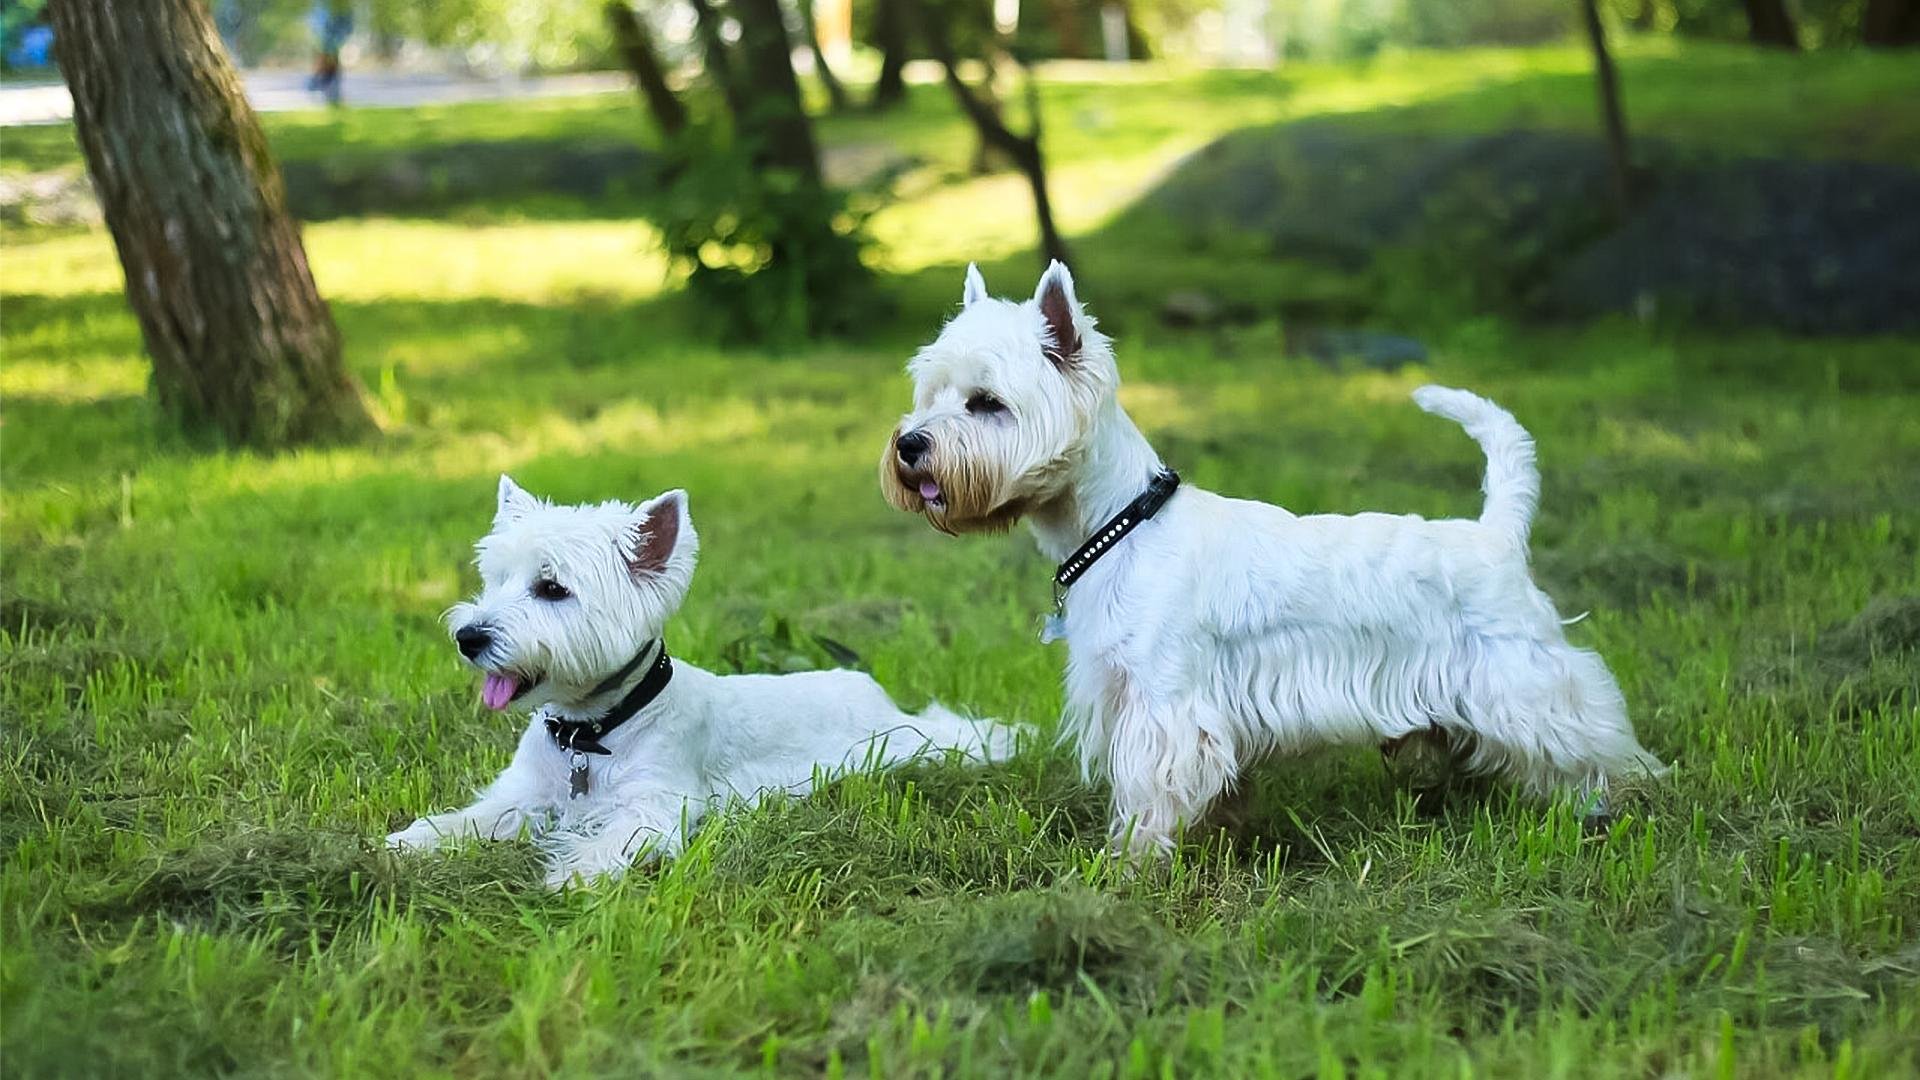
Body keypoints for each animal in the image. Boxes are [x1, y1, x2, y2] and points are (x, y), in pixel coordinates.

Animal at [387, 474, 1021, 880]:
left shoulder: (659, 802)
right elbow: (474, 818)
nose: (469, 638)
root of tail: (869, 687)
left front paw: (576, 870)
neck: (590, 734)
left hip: (905, 744)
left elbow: (618, 836)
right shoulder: (524, 793)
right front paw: (410, 841)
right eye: (495, 579)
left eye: (552, 588)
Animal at [883, 259, 1666, 849]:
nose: (909, 444)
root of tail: (1496, 532)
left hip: (1524, 676)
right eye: (930, 392)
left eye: (987, 402)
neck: (1120, 524)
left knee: (1593, 740)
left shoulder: (1165, 700)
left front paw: (1129, 863)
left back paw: (1616, 803)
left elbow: (1152, 790)